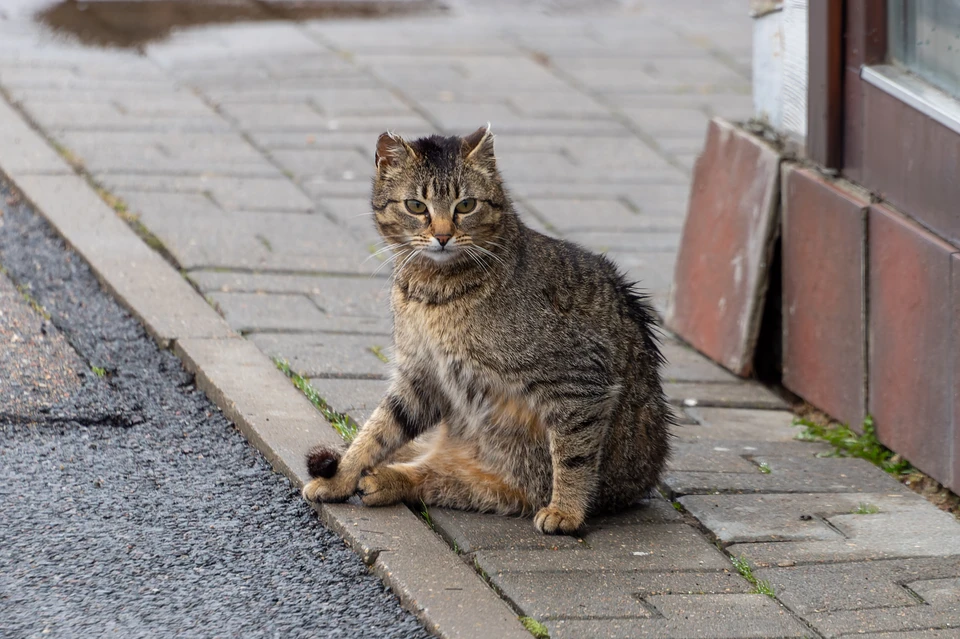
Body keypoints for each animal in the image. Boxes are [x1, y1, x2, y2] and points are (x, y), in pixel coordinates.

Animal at [304, 125, 672, 536]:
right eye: (416, 206)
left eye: (466, 206)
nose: (443, 236)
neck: (431, 291)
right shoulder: (421, 375)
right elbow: (377, 431)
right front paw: (342, 476)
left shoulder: (580, 379)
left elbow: (574, 456)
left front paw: (566, 510)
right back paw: (378, 478)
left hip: (511, 483)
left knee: (440, 478)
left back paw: (385, 480)